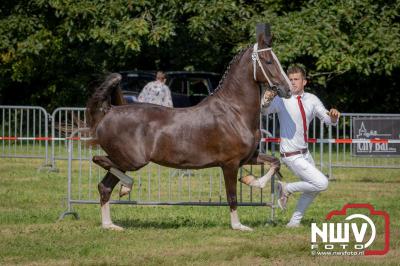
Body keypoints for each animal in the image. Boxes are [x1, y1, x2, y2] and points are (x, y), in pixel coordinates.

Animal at [85, 28, 290, 231]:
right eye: (268, 61)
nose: (287, 89)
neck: (234, 112)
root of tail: (109, 111)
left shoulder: (248, 158)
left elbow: (275, 162)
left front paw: (252, 182)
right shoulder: (230, 164)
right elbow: (232, 196)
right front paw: (238, 226)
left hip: (126, 162)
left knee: (104, 186)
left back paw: (110, 225)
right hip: (132, 161)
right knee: (98, 160)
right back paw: (127, 187)